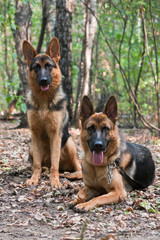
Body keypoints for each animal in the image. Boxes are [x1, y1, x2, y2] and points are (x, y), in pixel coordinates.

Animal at [22, 37, 81, 188]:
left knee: (77, 167)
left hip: (69, 142)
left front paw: (54, 181)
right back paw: (44, 170)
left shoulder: (55, 134)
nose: (44, 81)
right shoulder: (35, 133)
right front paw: (34, 178)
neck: (43, 102)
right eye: (37, 67)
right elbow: (36, 163)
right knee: (41, 164)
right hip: (31, 145)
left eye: (49, 66)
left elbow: (55, 163)